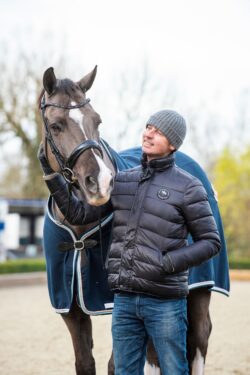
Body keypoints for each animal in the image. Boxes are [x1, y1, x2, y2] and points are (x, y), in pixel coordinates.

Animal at [38, 66, 229, 374]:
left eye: (97, 120)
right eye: (56, 125)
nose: (102, 183)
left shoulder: (119, 302)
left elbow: (117, 364)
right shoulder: (71, 309)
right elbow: (85, 362)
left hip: (200, 288)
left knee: (198, 337)